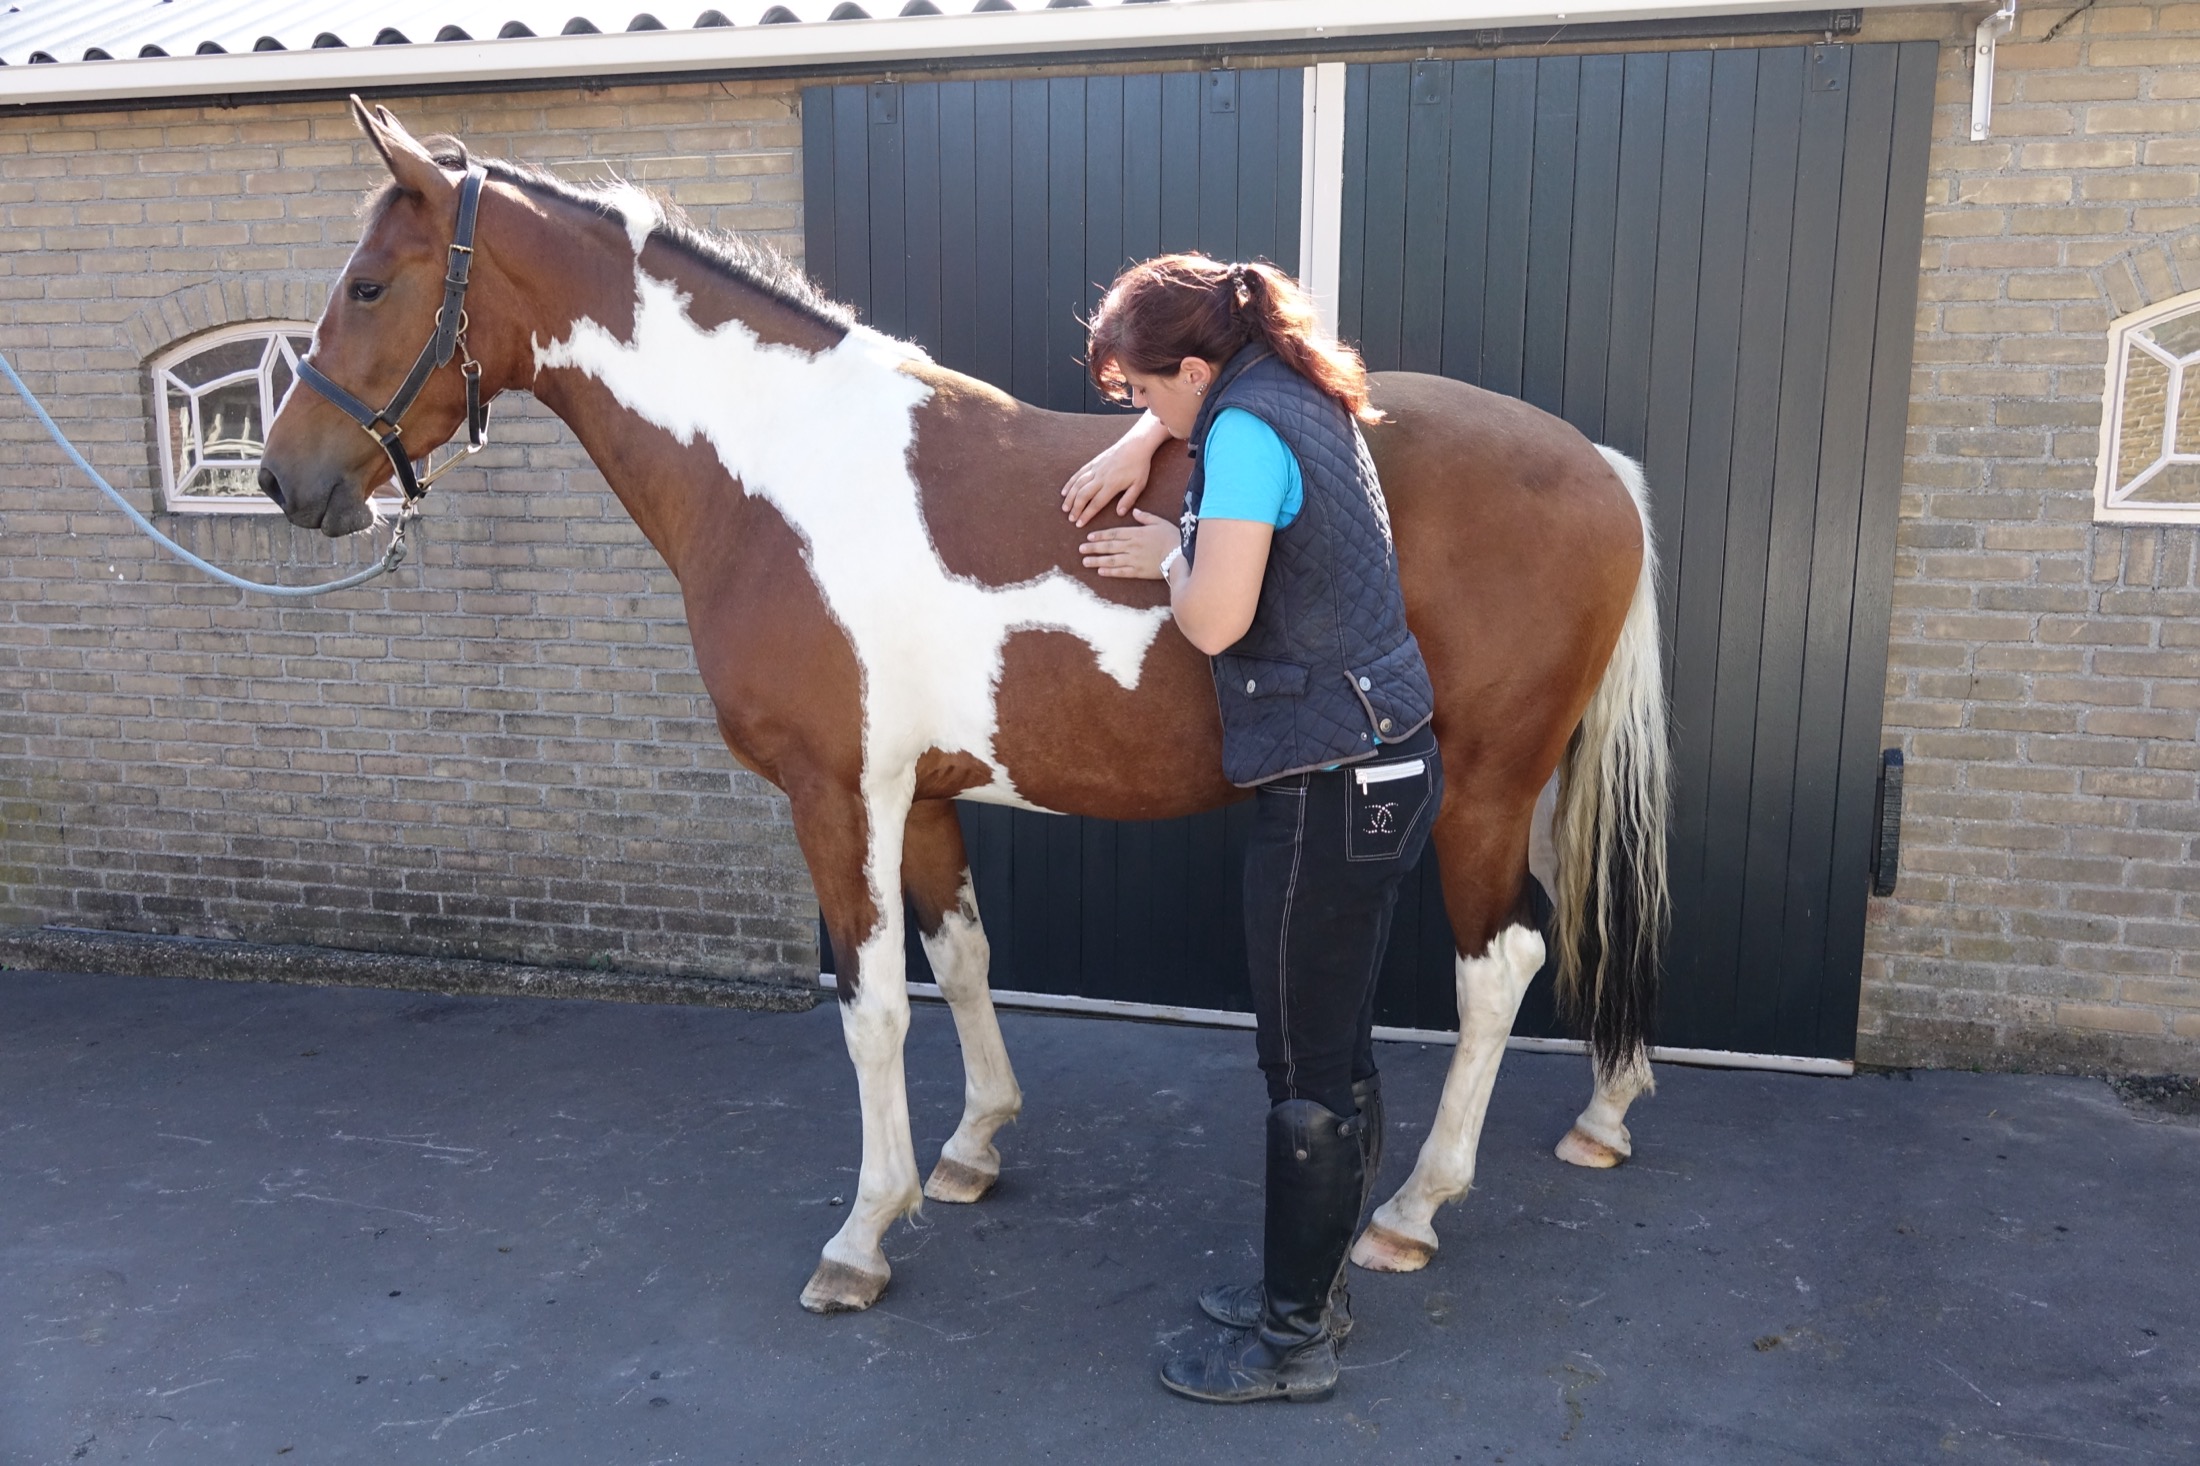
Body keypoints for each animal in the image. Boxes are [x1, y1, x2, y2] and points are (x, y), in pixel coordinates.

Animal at [258, 100, 1671, 1316]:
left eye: (370, 285)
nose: (284, 479)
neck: (785, 473)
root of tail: (1601, 466)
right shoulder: (923, 792)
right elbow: (965, 957)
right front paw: (973, 1146)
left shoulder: (838, 793)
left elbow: (875, 1004)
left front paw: (861, 1234)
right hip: (1526, 783)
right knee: (1576, 925)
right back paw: (1606, 1110)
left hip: (1475, 788)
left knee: (1502, 964)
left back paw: (1415, 1208)